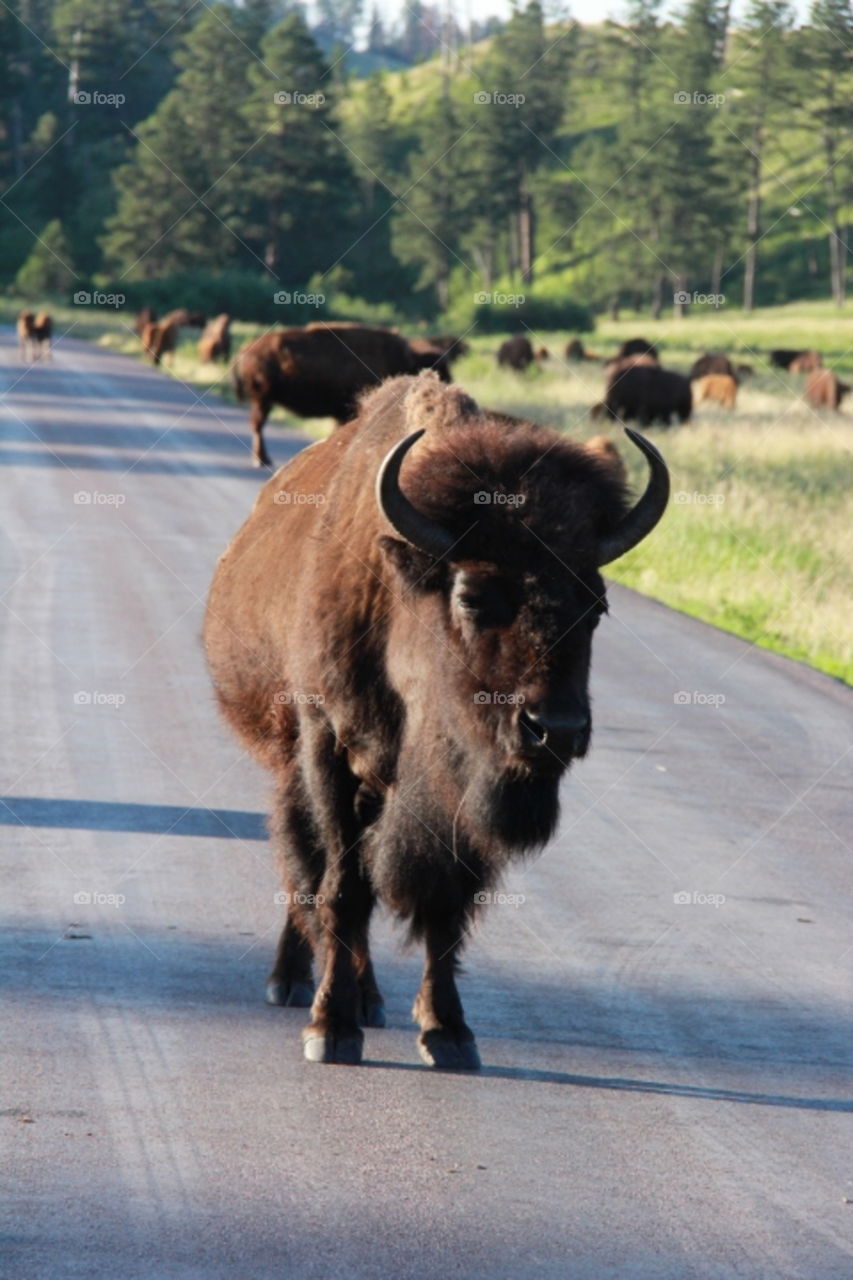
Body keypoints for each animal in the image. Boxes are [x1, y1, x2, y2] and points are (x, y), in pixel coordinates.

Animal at [204, 372, 669, 1069]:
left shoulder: (462, 793)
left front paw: (448, 1032)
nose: (554, 729)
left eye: (596, 605)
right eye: (472, 597)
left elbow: (445, 904)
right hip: (296, 758)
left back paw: (369, 999)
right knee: (306, 869)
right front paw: (329, 1029)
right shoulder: (328, 749)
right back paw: (292, 983)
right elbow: (340, 887)